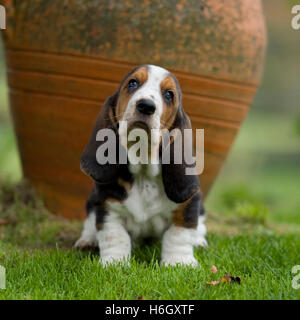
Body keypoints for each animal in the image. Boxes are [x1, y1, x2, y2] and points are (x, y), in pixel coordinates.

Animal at [74, 64, 206, 264]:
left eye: (169, 94)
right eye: (133, 83)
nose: (146, 105)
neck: (144, 169)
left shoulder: (188, 205)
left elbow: (179, 234)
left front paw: (179, 263)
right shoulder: (107, 205)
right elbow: (114, 235)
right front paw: (114, 263)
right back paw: (87, 240)